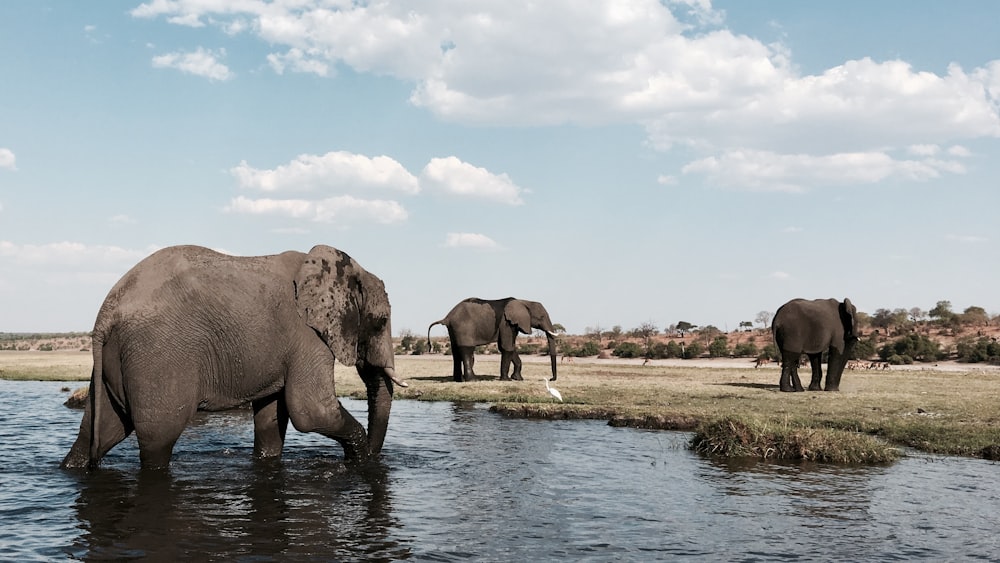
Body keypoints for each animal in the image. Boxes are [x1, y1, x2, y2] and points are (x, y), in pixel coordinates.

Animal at [60, 247, 404, 472]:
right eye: (381, 322)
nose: (376, 460)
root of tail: (106, 311)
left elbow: (271, 419)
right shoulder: (307, 335)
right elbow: (311, 410)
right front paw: (361, 460)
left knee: (99, 431)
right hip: (157, 356)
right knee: (157, 440)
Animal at [426, 300, 560, 384]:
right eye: (542, 317)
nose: (551, 379)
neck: (524, 301)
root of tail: (447, 317)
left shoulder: (513, 325)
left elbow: (509, 347)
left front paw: (518, 379)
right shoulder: (506, 323)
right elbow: (507, 347)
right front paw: (507, 380)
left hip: (453, 329)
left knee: (455, 352)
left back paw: (459, 380)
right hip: (463, 327)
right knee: (467, 350)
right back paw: (473, 380)